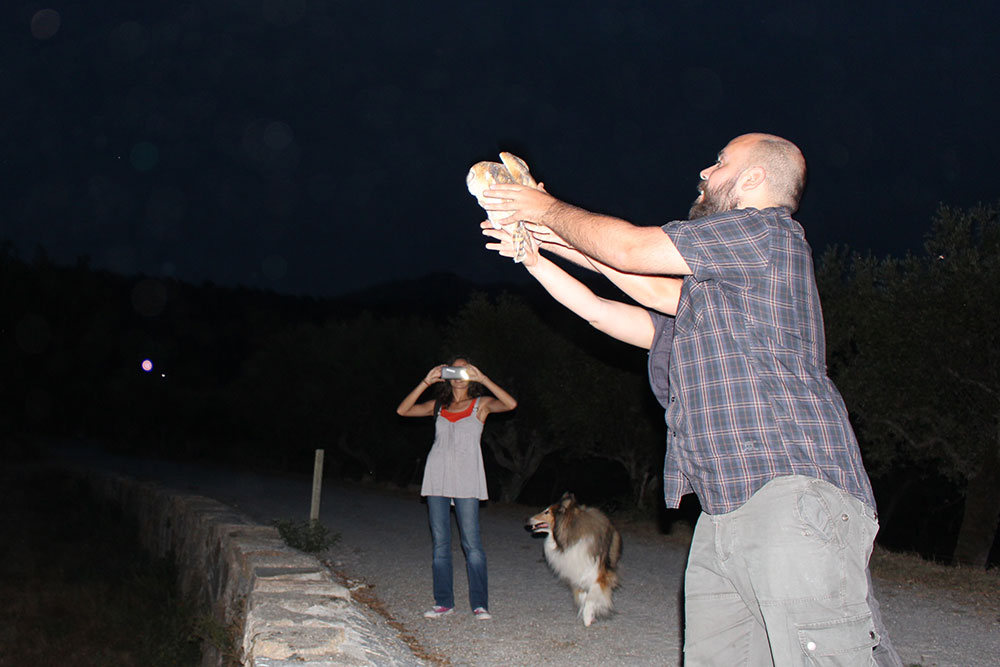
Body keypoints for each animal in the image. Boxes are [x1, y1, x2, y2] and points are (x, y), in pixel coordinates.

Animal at [525, 492, 623, 626]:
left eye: (547, 512)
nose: (527, 520)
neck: (570, 537)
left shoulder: (600, 576)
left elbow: (591, 598)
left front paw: (587, 617)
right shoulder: (578, 573)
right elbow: (583, 596)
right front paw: (587, 614)